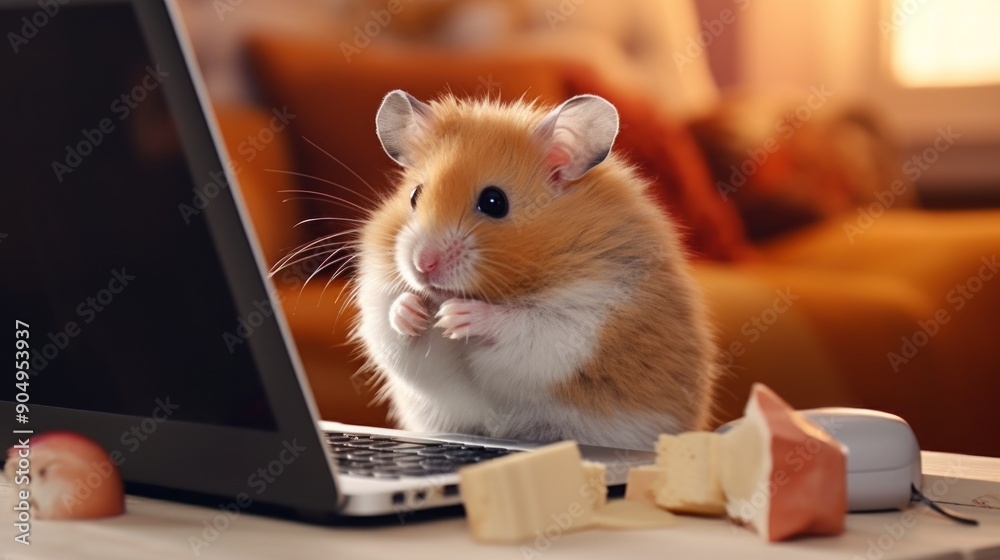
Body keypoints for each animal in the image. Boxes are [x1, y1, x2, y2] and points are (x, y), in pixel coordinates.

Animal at [353, 90, 719, 450]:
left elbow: (520, 325)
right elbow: (393, 330)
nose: (422, 266)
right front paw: (412, 311)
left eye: (494, 202)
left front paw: (457, 317)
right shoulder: (386, 315)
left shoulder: (580, 322)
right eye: (414, 196)